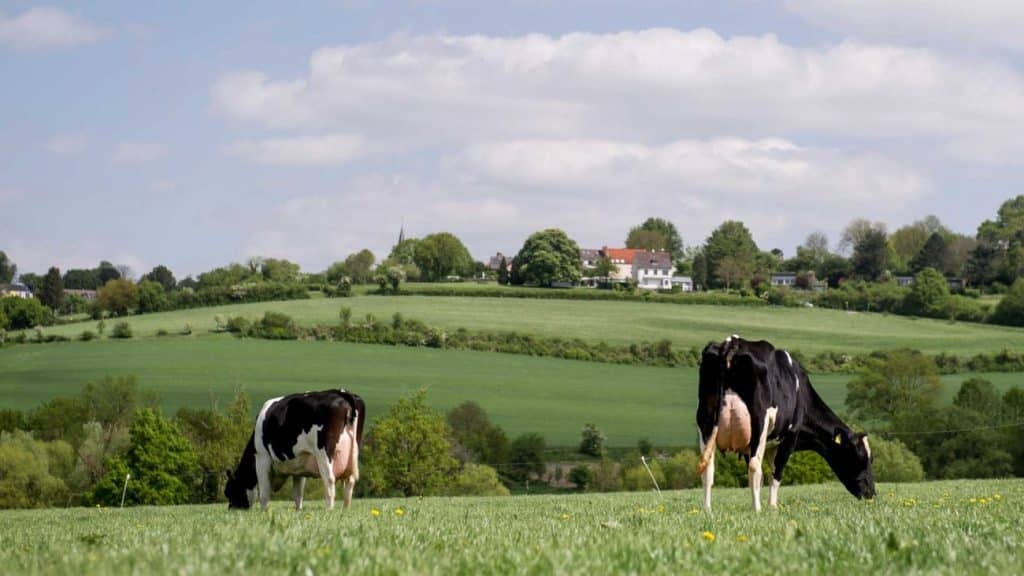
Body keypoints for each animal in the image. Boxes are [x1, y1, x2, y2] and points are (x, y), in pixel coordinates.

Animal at [226, 387, 366, 508]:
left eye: (229, 491)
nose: (231, 508)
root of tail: (342, 392)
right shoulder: (300, 466)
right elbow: (298, 495)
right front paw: (298, 511)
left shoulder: (262, 457)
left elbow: (264, 493)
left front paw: (263, 512)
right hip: (353, 453)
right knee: (350, 482)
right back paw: (345, 510)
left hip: (324, 452)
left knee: (329, 480)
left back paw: (329, 510)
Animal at [692, 334, 876, 508]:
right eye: (860, 456)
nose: (871, 494)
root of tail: (733, 342)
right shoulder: (790, 436)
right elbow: (776, 473)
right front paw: (772, 507)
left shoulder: (764, 445)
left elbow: (763, 478)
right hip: (759, 421)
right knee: (754, 466)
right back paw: (757, 510)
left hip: (705, 420)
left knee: (708, 468)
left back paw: (707, 510)